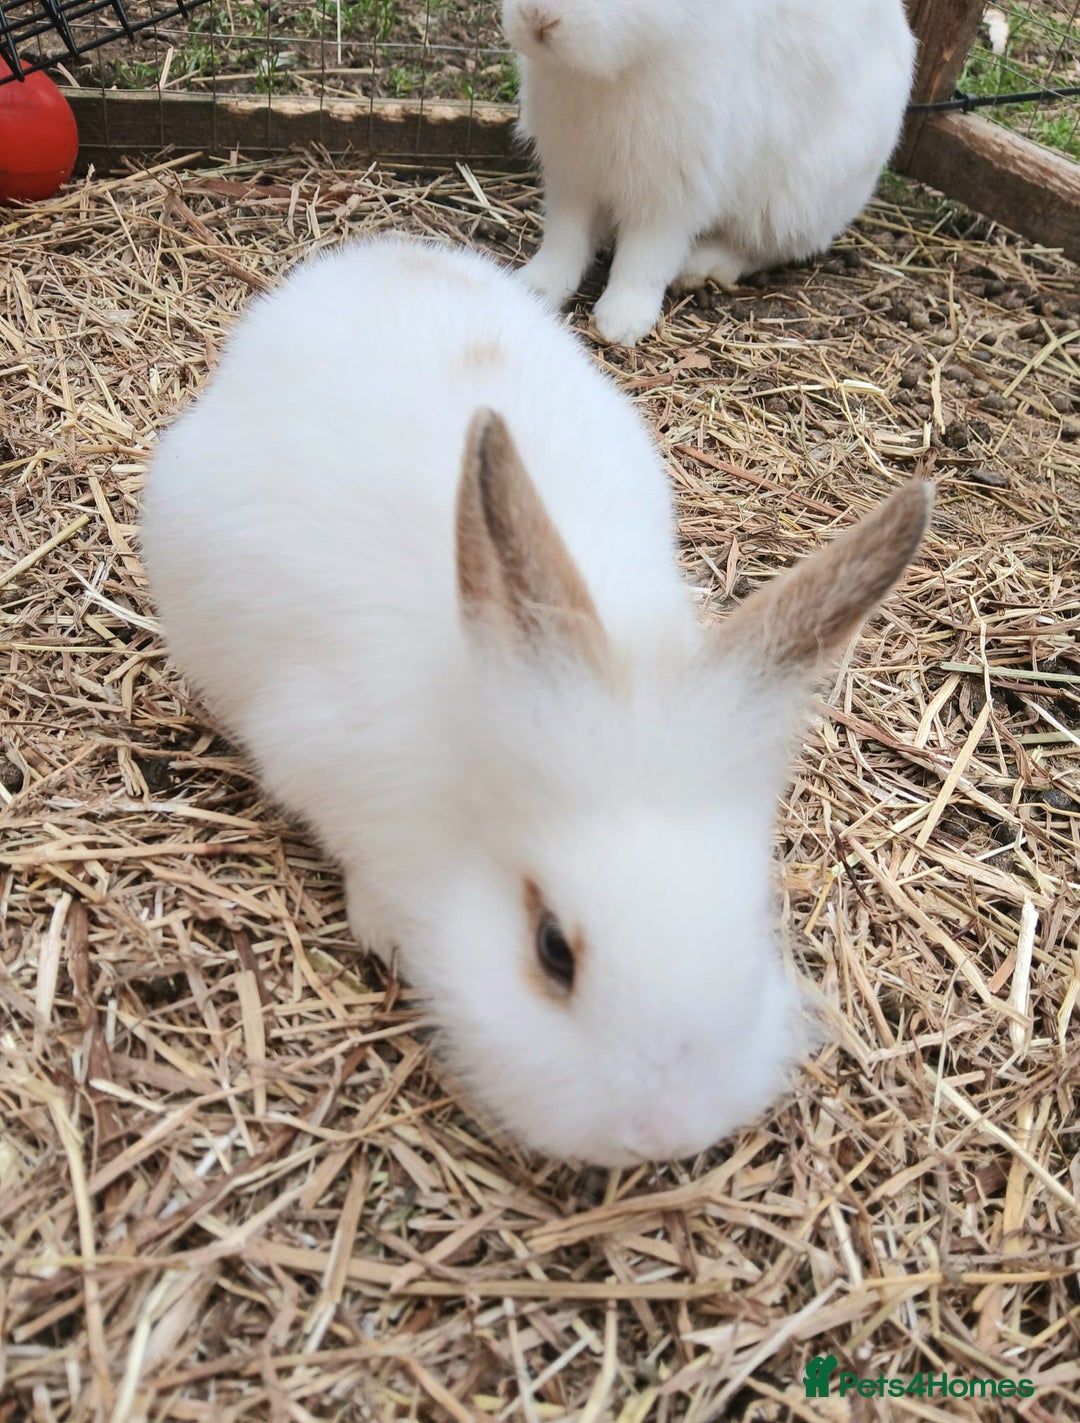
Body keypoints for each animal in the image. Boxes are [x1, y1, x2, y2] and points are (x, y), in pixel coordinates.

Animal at [502, 0, 917, 345]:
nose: (538, 16)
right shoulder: (573, 174)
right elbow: (565, 240)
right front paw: (535, 288)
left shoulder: (673, 186)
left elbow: (645, 257)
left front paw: (620, 322)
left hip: (793, 200)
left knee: (763, 249)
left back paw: (698, 267)